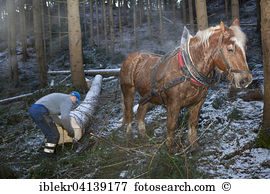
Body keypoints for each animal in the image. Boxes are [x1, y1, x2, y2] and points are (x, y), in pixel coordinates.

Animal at [119, 19, 252, 151]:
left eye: (245, 48)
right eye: (230, 49)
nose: (246, 79)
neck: (188, 70)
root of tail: (132, 56)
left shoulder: (198, 102)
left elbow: (193, 124)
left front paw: (194, 147)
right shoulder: (174, 103)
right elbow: (171, 125)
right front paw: (170, 148)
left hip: (147, 95)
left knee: (141, 112)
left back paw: (143, 136)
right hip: (128, 90)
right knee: (129, 114)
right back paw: (129, 136)